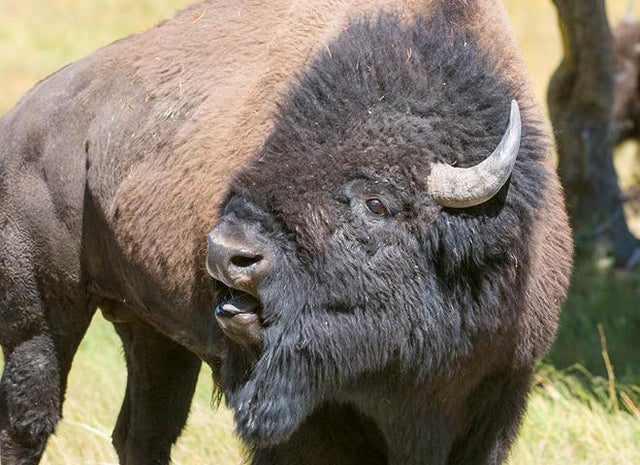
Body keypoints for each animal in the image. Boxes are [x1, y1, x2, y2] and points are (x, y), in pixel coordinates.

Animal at [0, 1, 573, 464]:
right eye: (257, 163)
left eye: (376, 202)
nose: (227, 254)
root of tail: (23, 118)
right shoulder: (310, 417)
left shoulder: (495, 400)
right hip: (42, 318)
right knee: (29, 420)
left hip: (152, 329)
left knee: (143, 432)